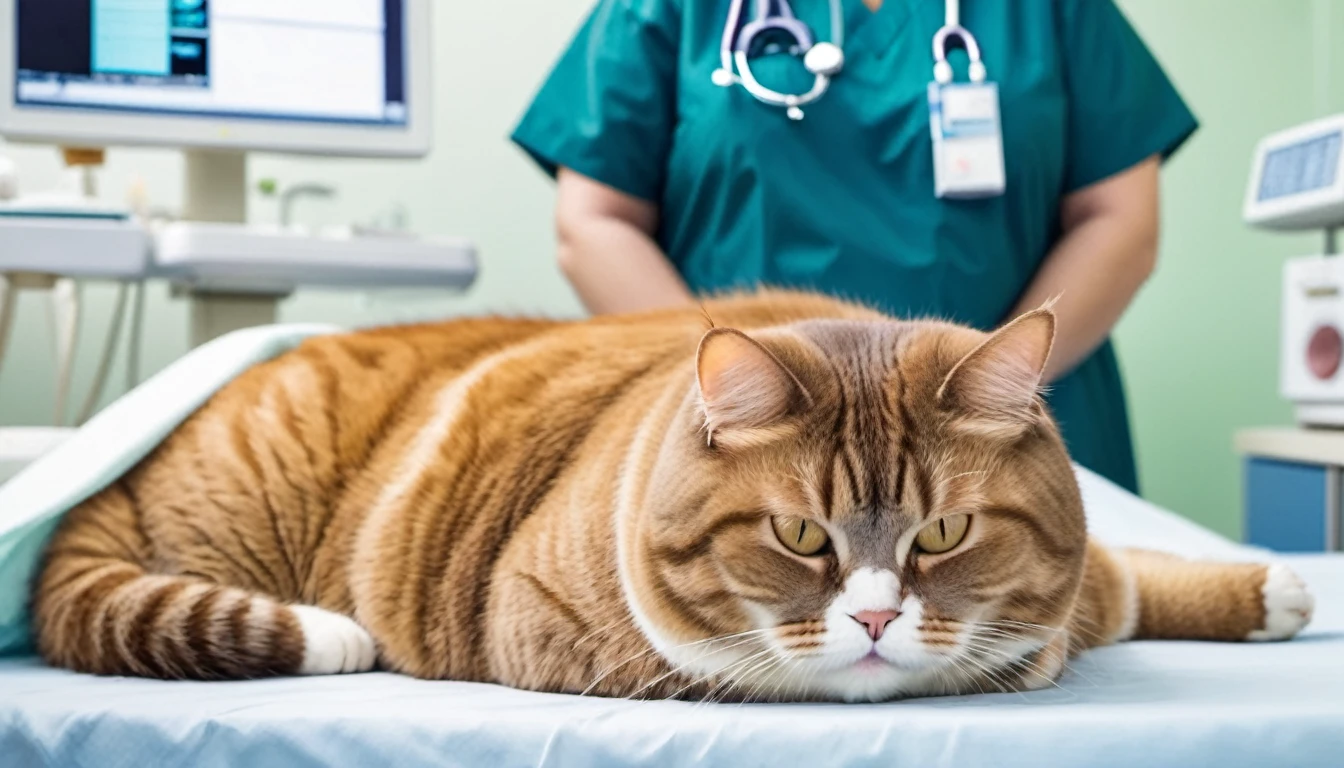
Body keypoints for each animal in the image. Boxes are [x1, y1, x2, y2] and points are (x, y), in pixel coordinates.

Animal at [34, 293, 1311, 704]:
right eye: (799, 534)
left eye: (945, 531)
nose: (879, 614)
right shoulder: (549, 626)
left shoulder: (1077, 592)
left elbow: (1123, 584)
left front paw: (1268, 588)